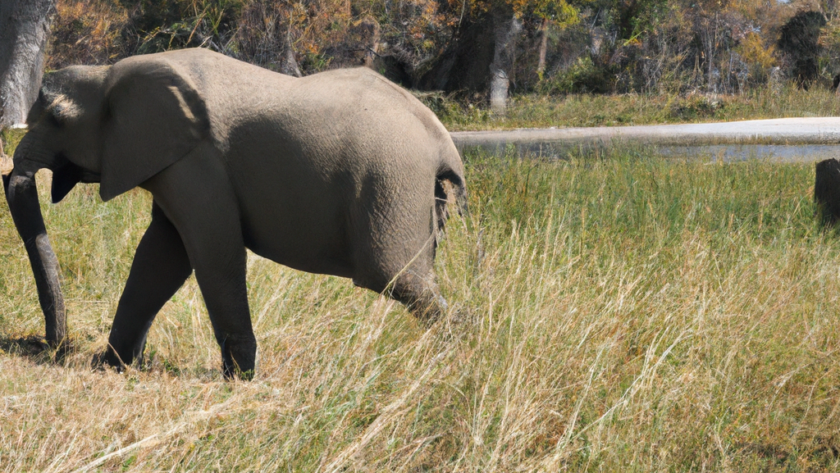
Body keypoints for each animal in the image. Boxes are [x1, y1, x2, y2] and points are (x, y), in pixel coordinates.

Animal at [3, 47, 466, 380]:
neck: (109, 73)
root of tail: (443, 142)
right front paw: (111, 367)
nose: (58, 349)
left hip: (392, 182)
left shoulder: (197, 160)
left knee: (395, 276)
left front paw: (239, 379)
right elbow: (160, 257)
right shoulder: (176, 162)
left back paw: (460, 358)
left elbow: (212, 251)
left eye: (57, 118)